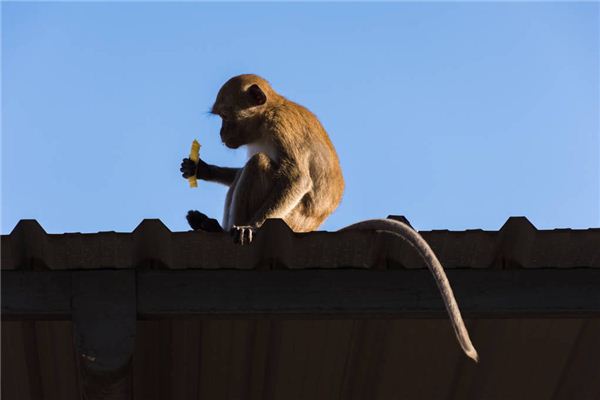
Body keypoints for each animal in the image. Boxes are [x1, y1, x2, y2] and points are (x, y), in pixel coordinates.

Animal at [180, 74, 480, 362]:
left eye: (225, 116)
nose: (221, 133)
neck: (269, 111)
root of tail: (311, 228)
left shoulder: (281, 128)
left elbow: (297, 178)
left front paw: (251, 226)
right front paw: (201, 168)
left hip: (292, 220)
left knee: (259, 164)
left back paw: (223, 228)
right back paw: (210, 226)